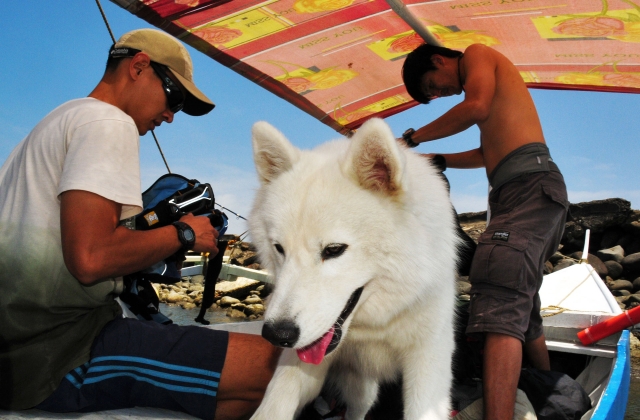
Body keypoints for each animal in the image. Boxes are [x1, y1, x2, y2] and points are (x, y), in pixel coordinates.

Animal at [246, 116, 460, 418]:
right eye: (279, 249)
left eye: (334, 250)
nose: (277, 335)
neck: (374, 326)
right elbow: (276, 402)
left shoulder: (429, 359)